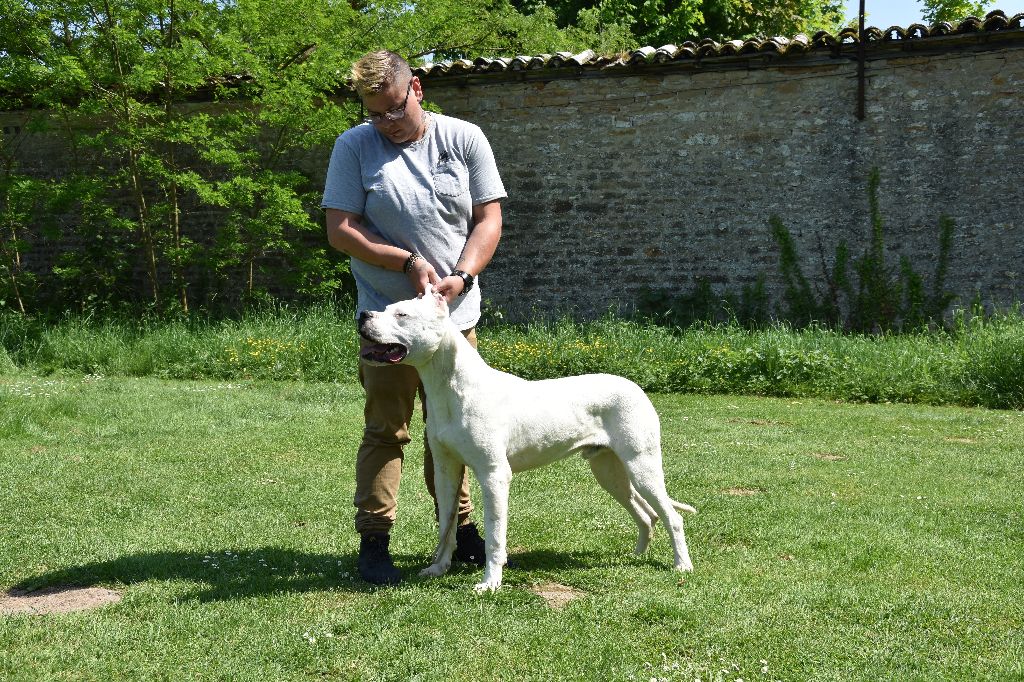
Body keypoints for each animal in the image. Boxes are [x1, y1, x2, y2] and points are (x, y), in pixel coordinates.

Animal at [358, 284, 696, 585]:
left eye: (401, 314)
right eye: (386, 308)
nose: (363, 314)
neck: (450, 386)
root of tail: (636, 387)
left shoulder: (494, 474)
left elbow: (495, 534)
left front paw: (490, 582)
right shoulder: (446, 470)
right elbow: (448, 524)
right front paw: (438, 567)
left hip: (642, 466)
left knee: (672, 517)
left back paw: (682, 565)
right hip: (609, 471)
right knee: (646, 514)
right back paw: (638, 555)